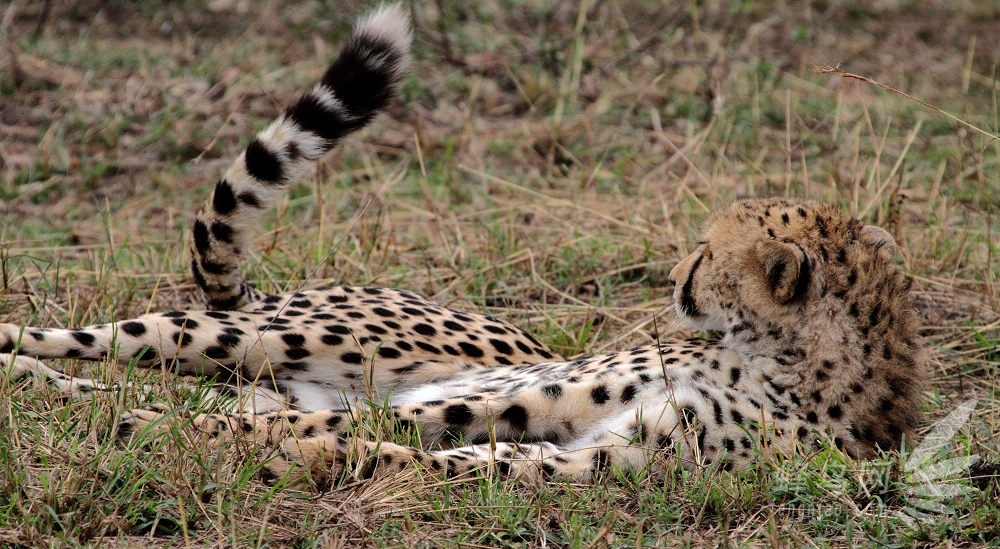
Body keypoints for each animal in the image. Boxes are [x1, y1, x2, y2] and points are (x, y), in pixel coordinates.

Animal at [0, 5, 928, 484]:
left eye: (705, 253)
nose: (674, 276)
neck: (784, 361)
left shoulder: (615, 452)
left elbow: (477, 458)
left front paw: (309, 450)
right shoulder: (546, 394)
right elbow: (414, 418)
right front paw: (302, 444)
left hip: (260, 360)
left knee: (142, 389)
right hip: (268, 334)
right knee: (112, 340)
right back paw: (31, 363)